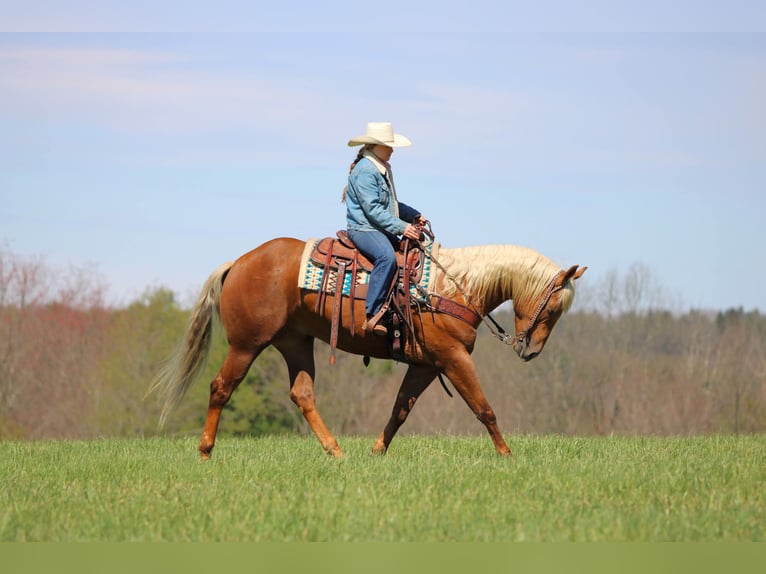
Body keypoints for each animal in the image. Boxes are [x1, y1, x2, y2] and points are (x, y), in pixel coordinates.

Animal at [150, 237, 586, 459]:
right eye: (553, 309)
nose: (530, 351)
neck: (453, 286)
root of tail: (238, 262)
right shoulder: (453, 359)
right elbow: (484, 408)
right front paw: (506, 455)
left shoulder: (427, 365)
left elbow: (400, 410)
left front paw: (377, 451)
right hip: (246, 345)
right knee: (221, 388)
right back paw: (205, 452)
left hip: (295, 343)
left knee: (302, 394)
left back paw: (336, 452)